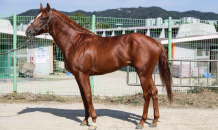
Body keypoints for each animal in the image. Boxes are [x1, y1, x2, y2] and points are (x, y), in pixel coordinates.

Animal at [26, 3, 172, 130]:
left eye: (43, 17)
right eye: (35, 16)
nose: (28, 31)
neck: (75, 42)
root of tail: (155, 42)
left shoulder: (83, 74)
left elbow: (88, 96)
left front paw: (94, 122)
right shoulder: (77, 76)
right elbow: (83, 97)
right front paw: (85, 120)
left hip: (143, 74)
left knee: (147, 94)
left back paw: (141, 123)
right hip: (147, 74)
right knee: (154, 92)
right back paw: (154, 121)